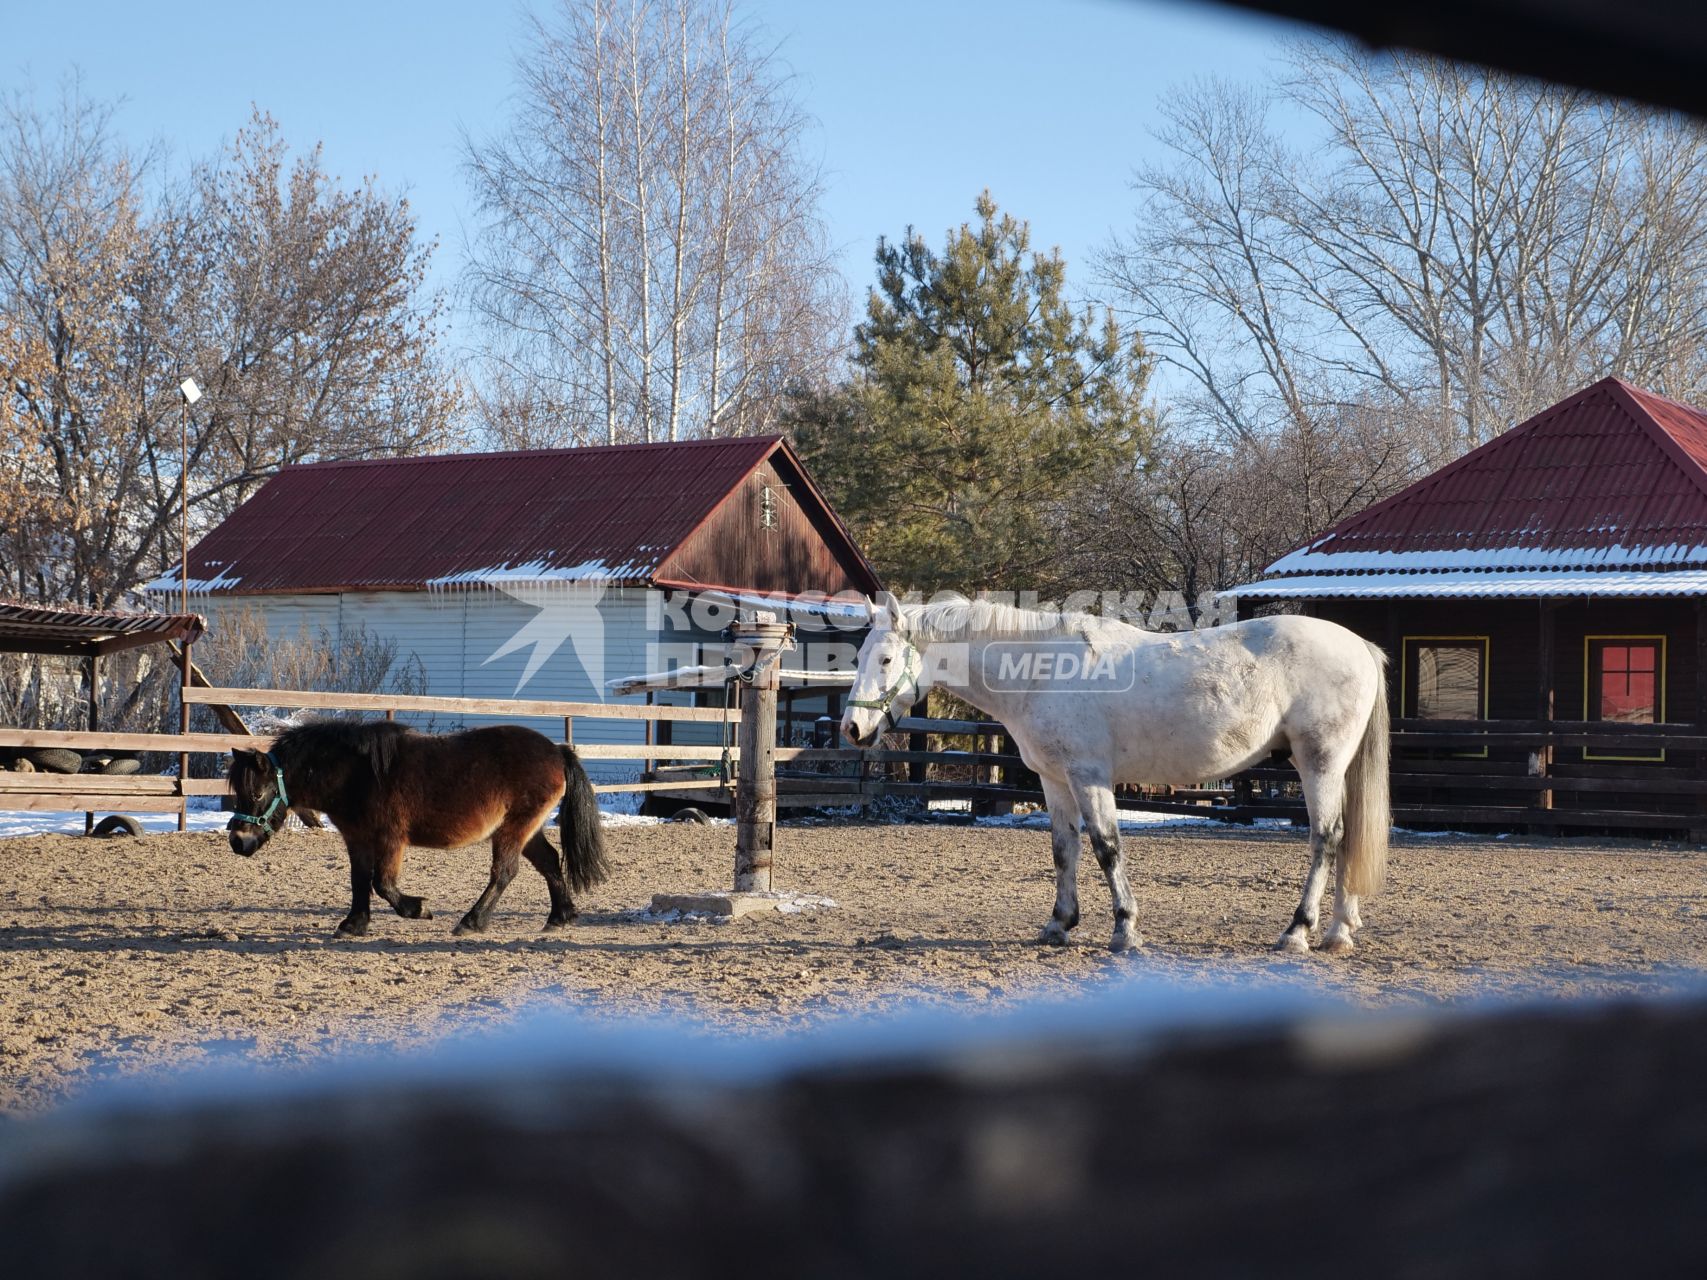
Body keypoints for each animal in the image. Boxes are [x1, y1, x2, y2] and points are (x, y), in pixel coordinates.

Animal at [228, 723, 607, 942]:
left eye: (257, 794)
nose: (238, 842)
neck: (356, 774)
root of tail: (557, 751)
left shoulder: (390, 839)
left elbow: (383, 883)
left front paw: (418, 909)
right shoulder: (357, 838)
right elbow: (359, 880)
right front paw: (354, 924)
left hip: (513, 829)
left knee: (505, 872)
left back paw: (472, 921)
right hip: (526, 829)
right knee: (549, 862)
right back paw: (560, 917)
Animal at [839, 600, 1386, 955]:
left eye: (885, 659)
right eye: (857, 657)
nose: (852, 728)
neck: (1043, 673)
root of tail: (1360, 645)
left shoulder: (1089, 776)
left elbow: (1106, 847)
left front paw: (1125, 928)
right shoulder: (1055, 781)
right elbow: (1064, 850)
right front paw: (1059, 925)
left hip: (1318, 763)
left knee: (1325, 838)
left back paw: (1298, 931)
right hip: (1335, 768)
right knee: (1346, 838)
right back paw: (1338, 932)